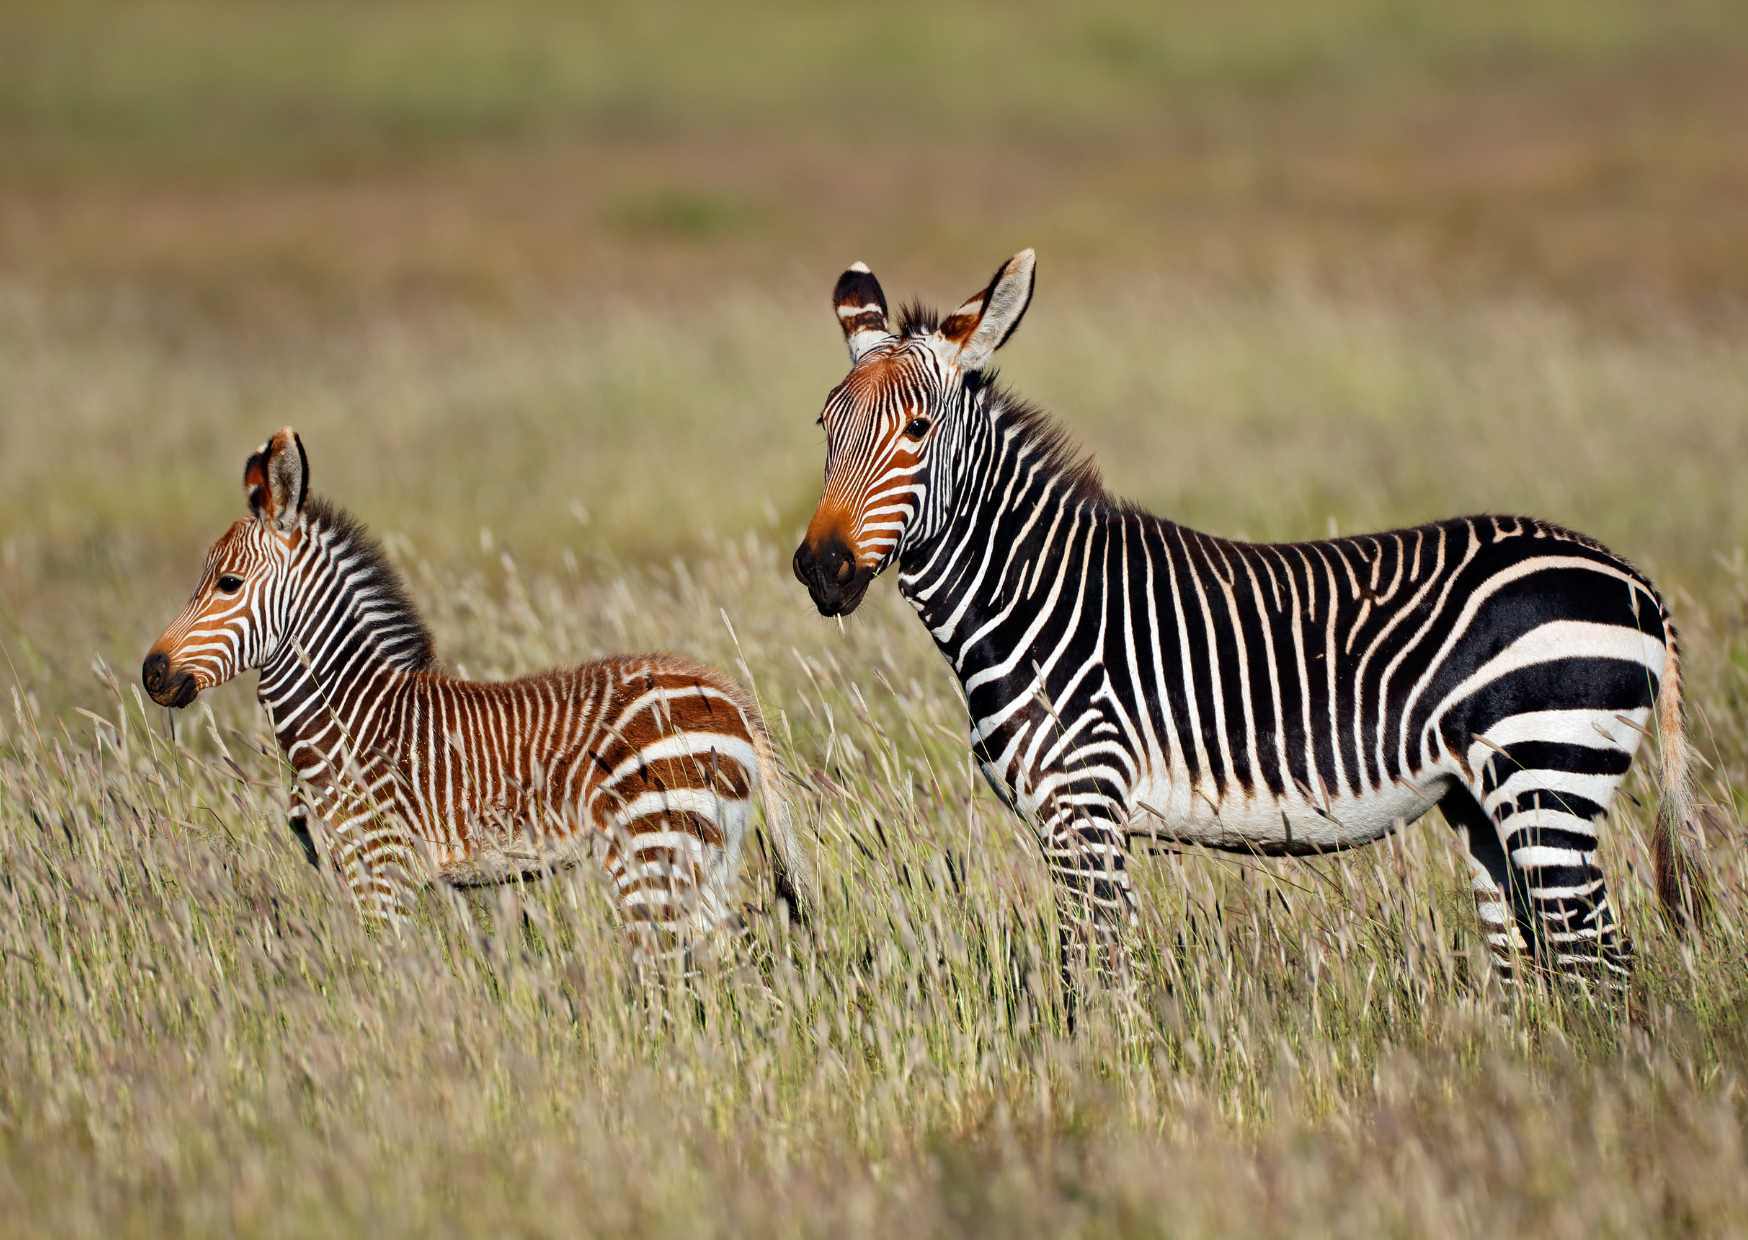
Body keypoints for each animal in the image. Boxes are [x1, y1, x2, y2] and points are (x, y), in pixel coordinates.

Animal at [144, 427, 813, 963]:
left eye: (229, 584)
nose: (151, 673)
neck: (350, 715)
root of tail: (725, 690)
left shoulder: (378, 868)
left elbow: (392, 978)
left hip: (654, 850)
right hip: (705, 852)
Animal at [791, 249, 1710, 996]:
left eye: (916, 430)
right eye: (825, 427)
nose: (821, 569)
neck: (1033, 596)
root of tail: (1635, 582)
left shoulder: (1085, 808)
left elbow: (1097, 979)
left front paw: (1104, 1084)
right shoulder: (1078, 822)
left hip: (1547, 772)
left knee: (1598, 963)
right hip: (1489, 804)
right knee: (1534, 964)